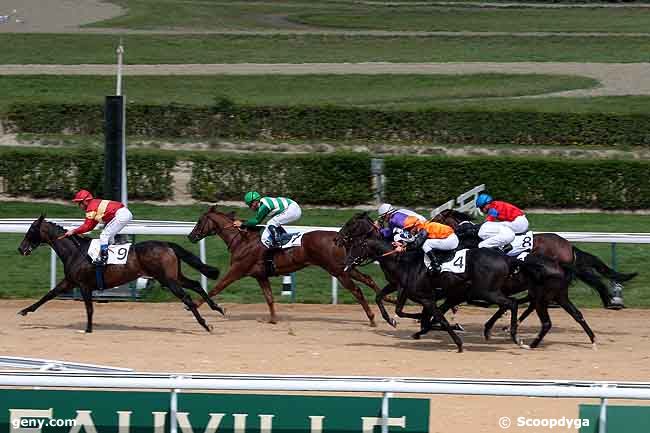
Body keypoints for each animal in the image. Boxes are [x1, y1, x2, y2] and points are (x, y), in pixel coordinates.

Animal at [186, 206, 384, 324]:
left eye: (200, 221)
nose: (190, 236)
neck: (242, 240)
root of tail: (340, 238)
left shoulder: (237, 270)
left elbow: (215, 288)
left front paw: (196, 306)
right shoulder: (260, 275)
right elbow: (269, 298)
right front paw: (273, 319)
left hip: (337, 271)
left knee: (357, 291)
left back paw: (373, 317)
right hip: (345, 267)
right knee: (368, 279)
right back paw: (385, 301)